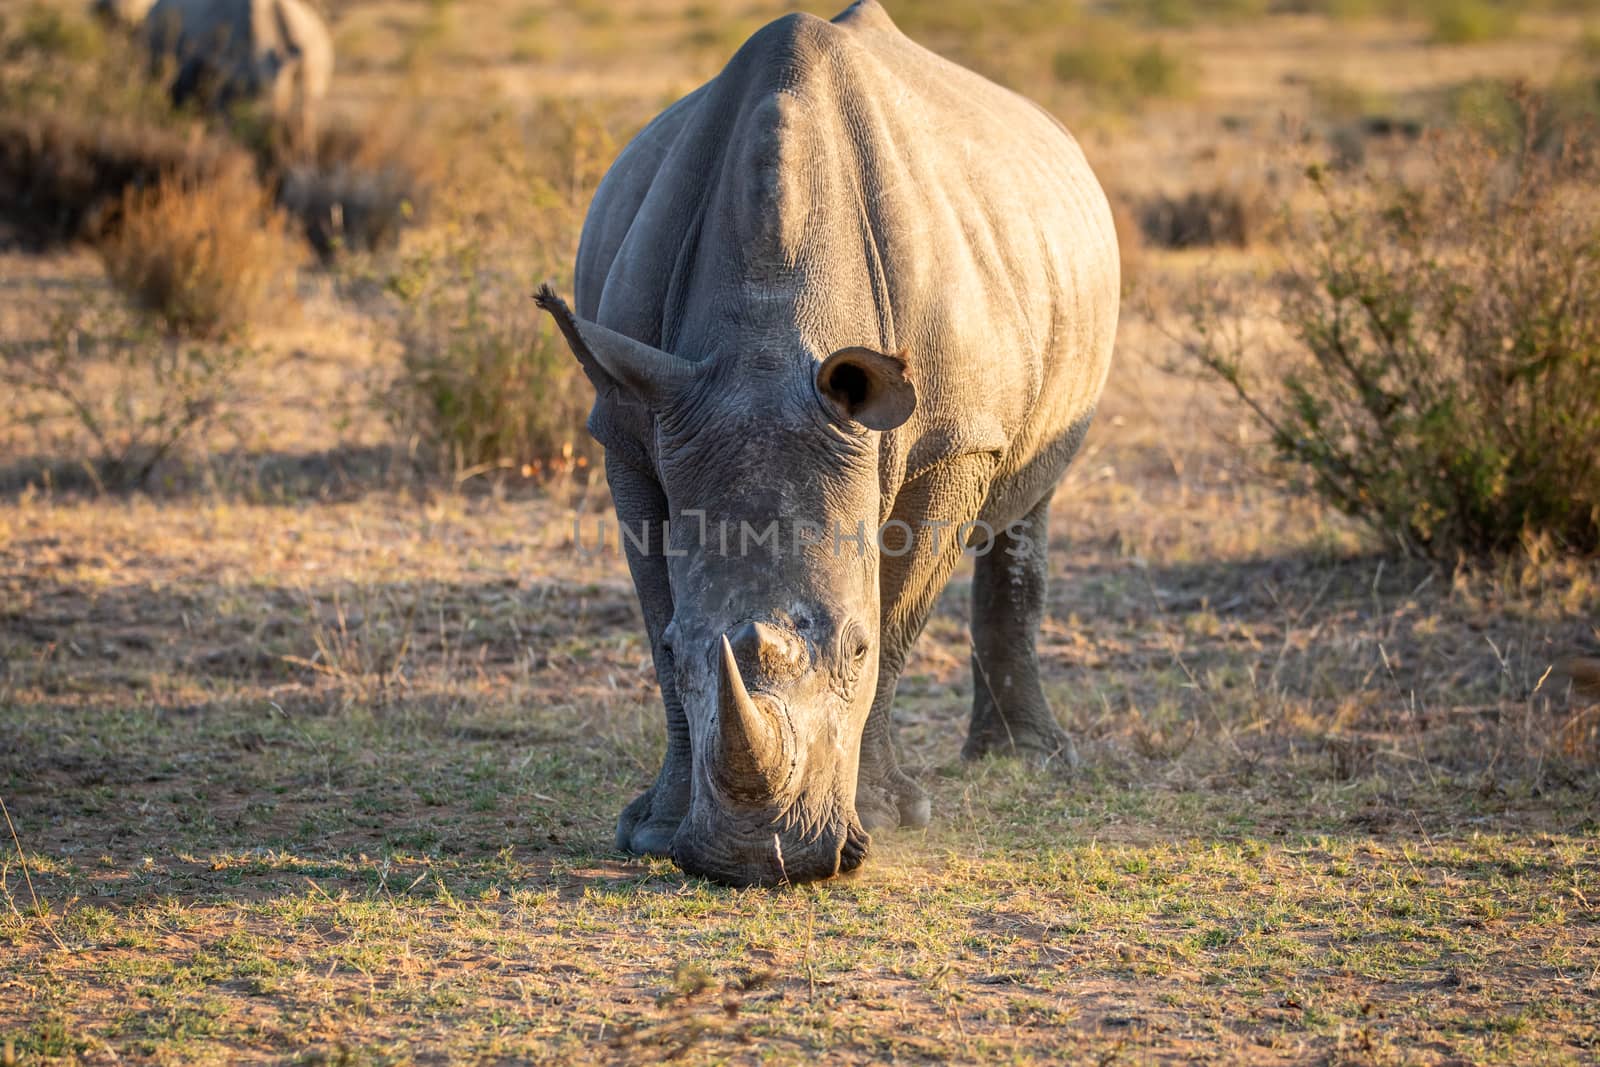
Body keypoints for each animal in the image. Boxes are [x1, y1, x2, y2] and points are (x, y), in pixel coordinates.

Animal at [537, 0, 1113, 889]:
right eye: (681, 648)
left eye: (856, 645)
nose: (760, 860)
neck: (771, 330)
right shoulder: (631, 422)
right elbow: (658, 605)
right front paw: (654, 827)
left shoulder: (951, 442)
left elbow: (901, 609)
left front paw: (885, 813)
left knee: (1031, 500)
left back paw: (1028, 762)